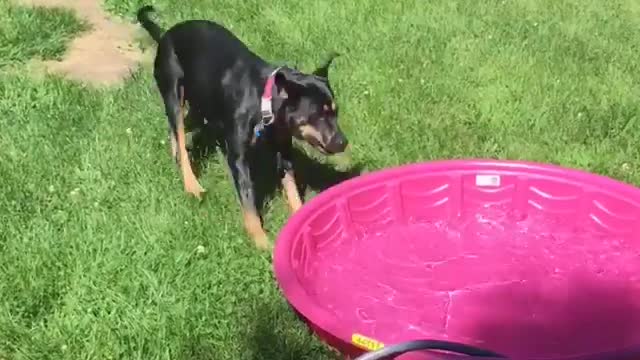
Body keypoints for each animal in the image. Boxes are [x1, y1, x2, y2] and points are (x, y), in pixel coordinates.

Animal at [136, 5, 350, 249]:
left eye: (335, 112)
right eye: (317, 116)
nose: (343, 142)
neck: (263, 104)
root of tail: (165, 35)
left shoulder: (284, 151)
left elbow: (292, 190)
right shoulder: (238, 159)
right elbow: (248, 202)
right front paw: (261, 242)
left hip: (199, 105)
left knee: (178, 130)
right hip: (173, 92)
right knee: (178, 130)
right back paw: (192, 184)